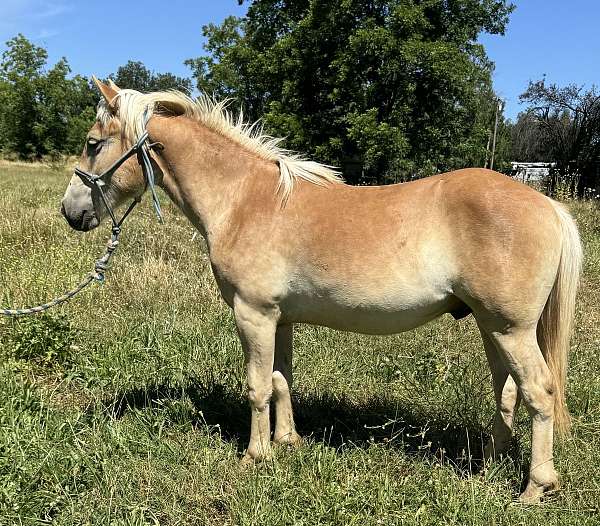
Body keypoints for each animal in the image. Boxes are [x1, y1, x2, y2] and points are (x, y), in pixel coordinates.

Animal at [61, 77, 580, 504]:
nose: (71, 212)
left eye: (92, 144)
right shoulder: (280, 318)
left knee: (538, 391)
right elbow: (280, 380)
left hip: (511, 329)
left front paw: (256, 456)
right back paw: (487, 465)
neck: (243, 200)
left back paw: (535, 487)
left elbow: (256, 386)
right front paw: (288, 441)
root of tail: (549, 207)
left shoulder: (252, 314)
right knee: (508, 391)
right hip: (493, 328)